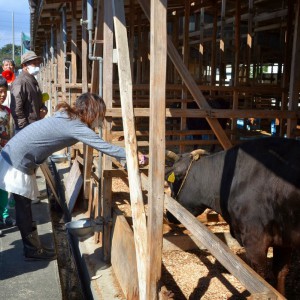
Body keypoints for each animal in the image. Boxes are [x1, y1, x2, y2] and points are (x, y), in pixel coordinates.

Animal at [165, 138, 300, 296]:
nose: (168, 214)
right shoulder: (284, 241)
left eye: (175, 179)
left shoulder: (255, 240)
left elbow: (260, 281)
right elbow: (280, 273)